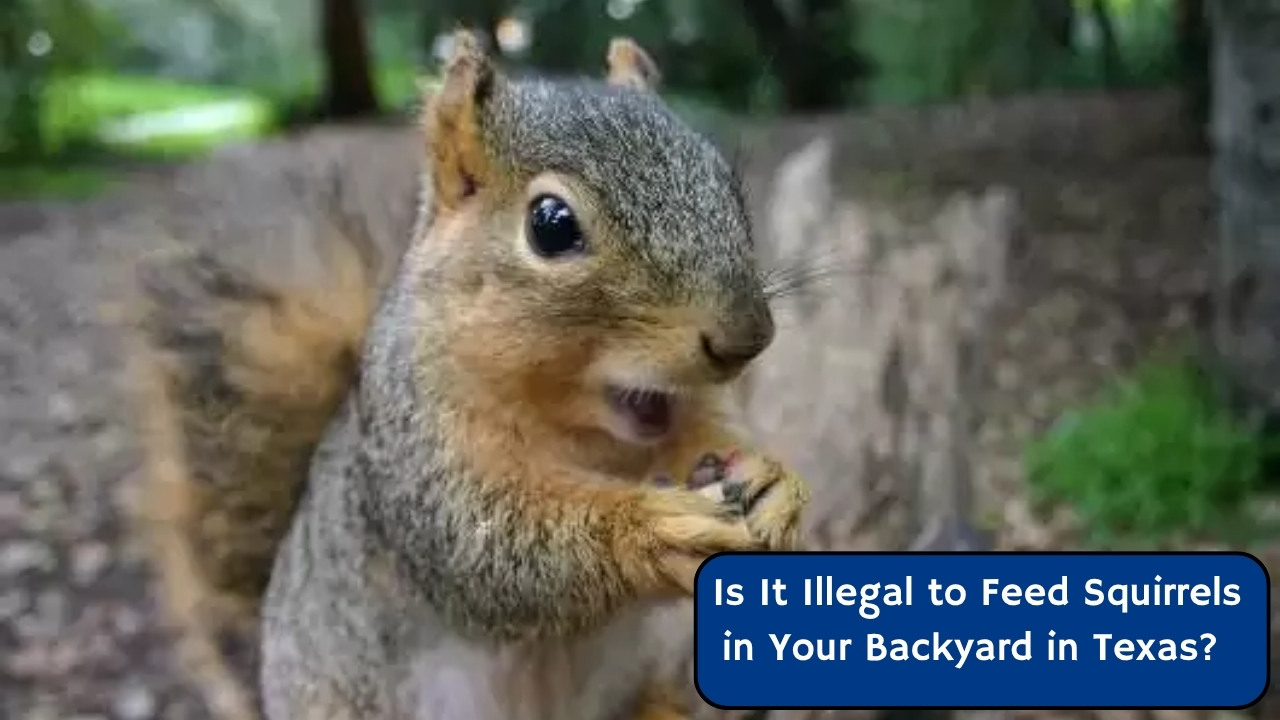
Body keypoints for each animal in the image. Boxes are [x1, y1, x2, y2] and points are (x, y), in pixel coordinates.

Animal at [128, 30, 809, 720]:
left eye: (725, 183)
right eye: (551, 225)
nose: (745, 338)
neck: (584, 434)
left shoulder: (688, 410)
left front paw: (771, 482)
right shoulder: (418, 457)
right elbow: (490, 546)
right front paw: (652, 529)